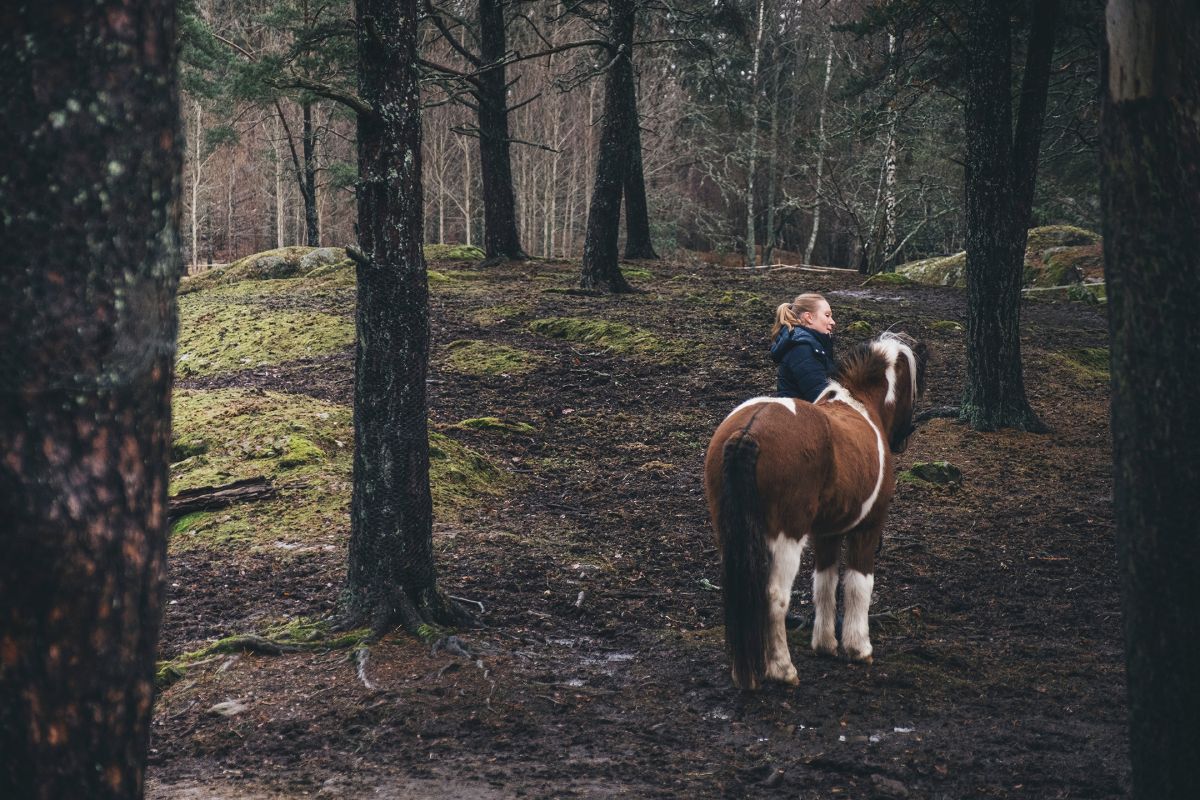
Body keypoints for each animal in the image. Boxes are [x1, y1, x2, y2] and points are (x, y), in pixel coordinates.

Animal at [700, 331, 926, 690]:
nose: (902, 439)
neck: (862, 404)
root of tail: (747, 430)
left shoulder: (827, 533)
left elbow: (825, 582)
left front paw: (825, 644)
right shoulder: (867, 528)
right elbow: (859, 584)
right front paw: (858, 648)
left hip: (730, 533)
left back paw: (743, 671)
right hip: (786, 537)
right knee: (774, 596)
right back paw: (782, 670)